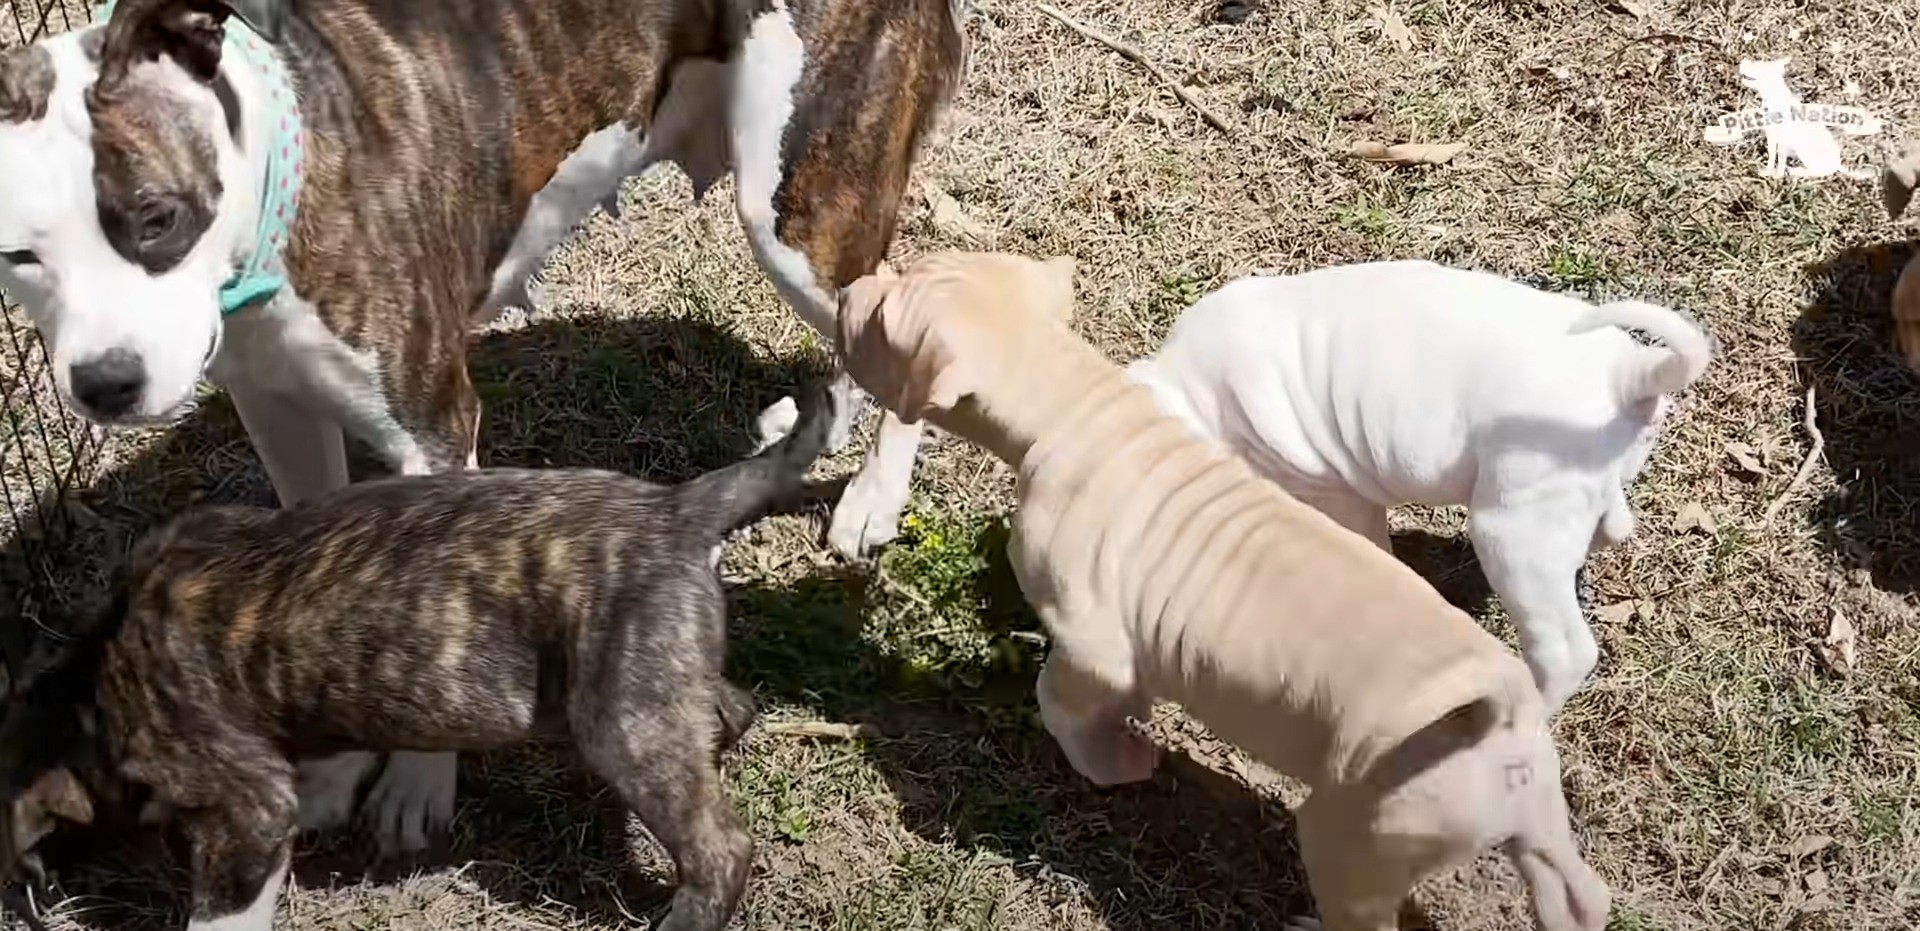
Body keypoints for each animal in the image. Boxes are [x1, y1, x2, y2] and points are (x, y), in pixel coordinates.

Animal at [0, 0, 960, 856]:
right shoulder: (276, 407)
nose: (105, 383)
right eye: (16, 253)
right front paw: (337, 764)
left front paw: (417, 783)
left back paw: (874, 496)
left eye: (156, 217)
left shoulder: (432, 428)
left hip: (796, 211)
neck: (280, 176)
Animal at [0, 383, 837, 929]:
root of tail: (678, 508)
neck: (88, 687)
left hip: (624, 724)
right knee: (729, 708)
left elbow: (224, 907)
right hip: (657, 677)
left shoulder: (243, 805)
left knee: (720, 849)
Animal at [833, 251, 1612, 929]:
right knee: (1578, 896)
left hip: (1355, 842)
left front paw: (1119, 763)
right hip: (1538, 824)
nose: (845, 290)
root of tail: (1498, 714)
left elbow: (1061, 702)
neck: (1081, 404)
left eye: (881, 320)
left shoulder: (1094, 646)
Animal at [1121, 259, 1720, 710]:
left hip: (1512, 531)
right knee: (1614, 524)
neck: (1187, 388)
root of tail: (1628, 376)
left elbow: (1366, 544)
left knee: (1564, 652)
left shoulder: (1336, 493)